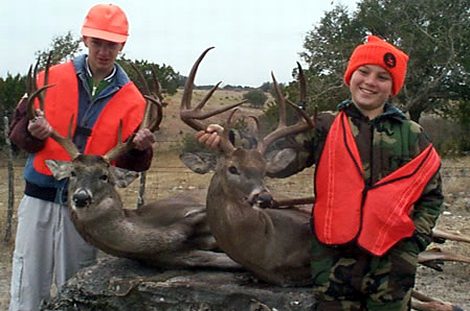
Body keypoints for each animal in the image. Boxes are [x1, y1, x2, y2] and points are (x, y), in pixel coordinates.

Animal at [179, 48, 470, 310]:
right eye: (233, 168)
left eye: (263, 169)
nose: (264, 196)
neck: (264, 245)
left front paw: (444, 302)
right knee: (436, 251)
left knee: (445, 241)